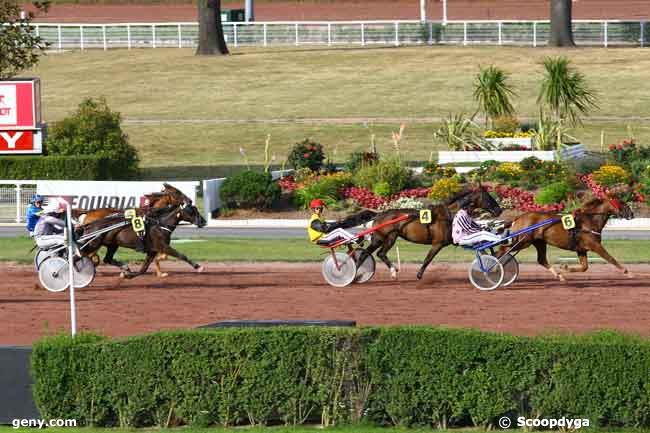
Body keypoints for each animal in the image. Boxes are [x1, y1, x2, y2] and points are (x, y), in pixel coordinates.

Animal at [354, 183, 502, 278]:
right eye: (488, 196)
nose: (499, 210)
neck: (449, 215)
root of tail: (378, 214)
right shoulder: (438, 244)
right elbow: (427, 259)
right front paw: (419, 275)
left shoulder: (455, 240)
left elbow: (481, 249)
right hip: (385, 237)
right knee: (375, 253)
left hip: (384, 238)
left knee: (371, 254)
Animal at [496, 198, 632, 282]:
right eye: (622, 203)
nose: (631, 214)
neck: (589, 220)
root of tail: (518, 217)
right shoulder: (594, 245)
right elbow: (610, 258)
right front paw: (626, 271)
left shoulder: (581, 249)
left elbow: (585, 267)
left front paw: (565, 268)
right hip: (523, 241)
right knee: (502, 249)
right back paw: (495, 267)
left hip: (539, 242)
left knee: (541, 259)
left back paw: (559, 276)